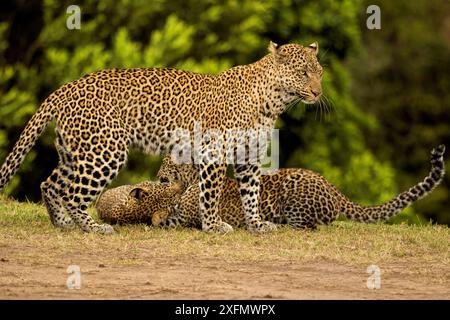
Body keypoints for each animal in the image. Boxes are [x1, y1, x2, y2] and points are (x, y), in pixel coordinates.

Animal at [0, 41, 324, 234]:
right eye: (303, 73)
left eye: (319, 72)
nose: (318, 92)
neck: (273, 101)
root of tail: (66, 87)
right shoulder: (214, 151)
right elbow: (211, 194)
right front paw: (213, 225)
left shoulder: (249, 155)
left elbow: (252, 193)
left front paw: (256, 224)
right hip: (105, 151)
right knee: (72, 193)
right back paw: (94, 228)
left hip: (78, 151)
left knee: (50, 184)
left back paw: (62, 223)